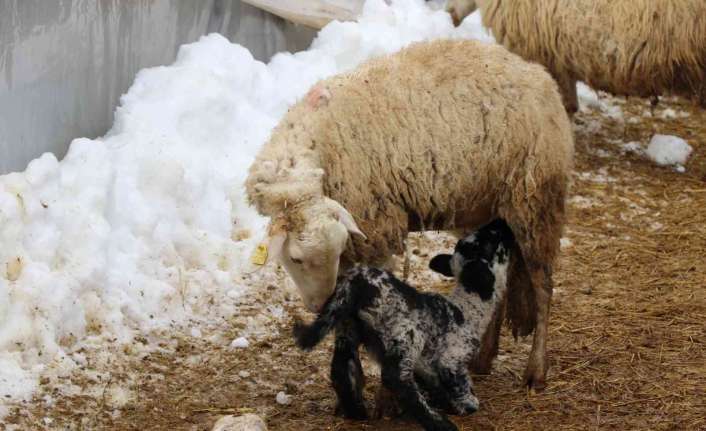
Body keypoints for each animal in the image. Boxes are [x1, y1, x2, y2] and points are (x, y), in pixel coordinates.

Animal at [245, 40, 576, 390]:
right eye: (295, 258)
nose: (319, 303)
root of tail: (538, 74)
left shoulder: (375, 233)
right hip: (484, 208)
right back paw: (483, 359)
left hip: (535, 199)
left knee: (543, 286)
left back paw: (536, 370)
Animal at [292, 221, 512, 430]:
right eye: (491, 241)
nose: (501, 222)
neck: (467, 307)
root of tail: (356, 279)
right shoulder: (451, 358)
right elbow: (461, 385)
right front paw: (465, 405)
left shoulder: (427, 364)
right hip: (405, 334)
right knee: (396, 378)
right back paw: (440, 424)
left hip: (347, 327)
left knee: (341, 368)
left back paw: (357, 412)